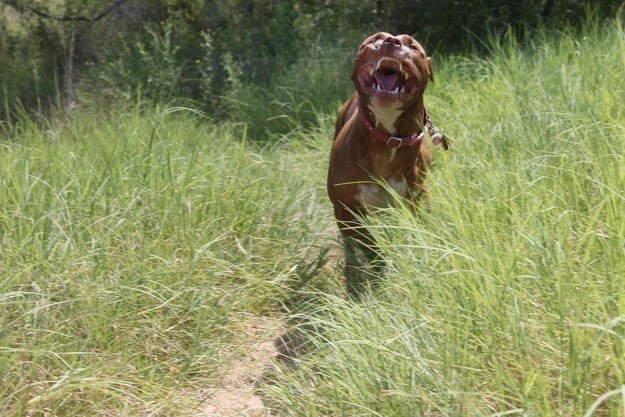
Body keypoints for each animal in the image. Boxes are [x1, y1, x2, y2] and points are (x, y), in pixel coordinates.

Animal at [326, 32, 444, 290]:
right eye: (374, 40)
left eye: (412, 45)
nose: (391, 41)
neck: (387, 141)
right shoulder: (347, 210)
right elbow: (370, 246)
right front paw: (380, 268)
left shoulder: (418, 198)